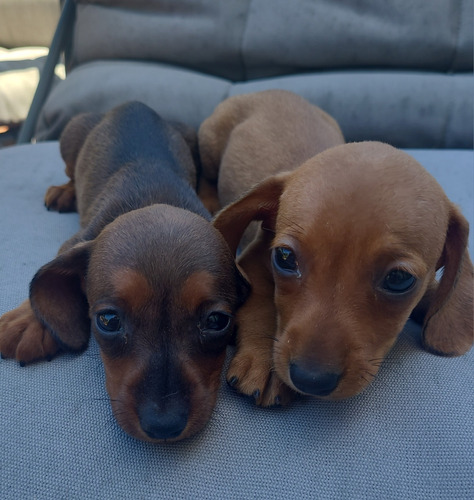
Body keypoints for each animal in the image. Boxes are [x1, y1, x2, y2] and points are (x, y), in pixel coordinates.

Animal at [0, 101, 250, 442]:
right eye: (108, 320)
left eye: (216, 321)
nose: (163, 425)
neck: (155, 199)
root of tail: (134, 103)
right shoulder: (76, 242)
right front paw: (27, 321)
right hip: (71, 136)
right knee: (71, 173)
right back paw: (65, 192)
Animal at [212, 139, 474, 408]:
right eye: (285, 257)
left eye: (400, 279)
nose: (310, 379)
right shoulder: (253, 261)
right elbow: (261, 303)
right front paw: (264, 359)